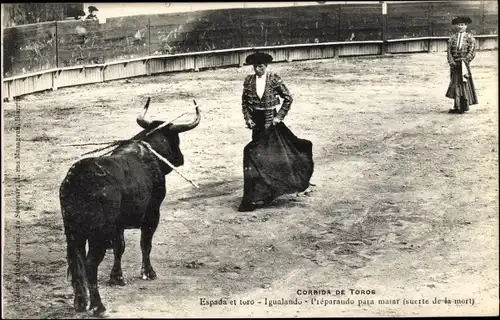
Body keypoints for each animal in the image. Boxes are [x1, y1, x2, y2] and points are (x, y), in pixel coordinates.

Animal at [58, 97, 199, 316]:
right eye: (175, 139)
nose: (180, 158)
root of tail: (77, 180)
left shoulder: (117, 226)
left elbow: (120, 247)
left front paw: (117, 277)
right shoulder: (153, 213)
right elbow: (145, 243)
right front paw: (149, 272)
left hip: (73, 232)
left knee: (76, 262)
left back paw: (81, 303)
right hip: (97, 235)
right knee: (89, 265)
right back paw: (98, 306)